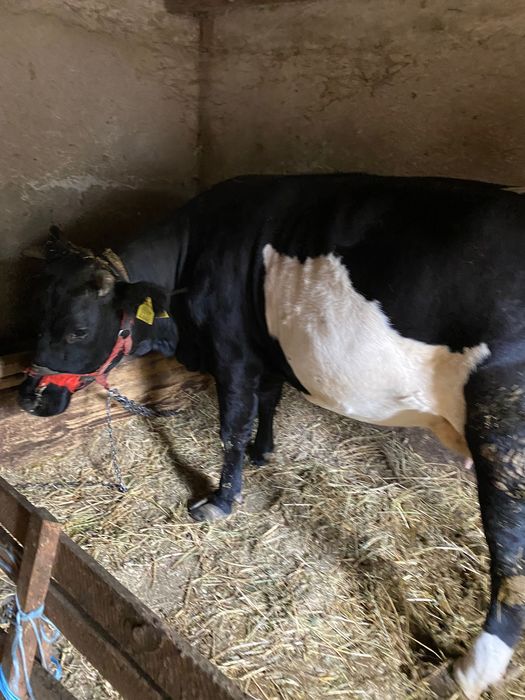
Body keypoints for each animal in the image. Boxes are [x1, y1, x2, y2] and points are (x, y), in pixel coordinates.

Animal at [18, 173, 525, 698]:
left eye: (78, 330)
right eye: (34, 313)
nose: (30, 397)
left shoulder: (233, 351)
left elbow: (232, 426)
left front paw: (221, 500)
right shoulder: (266, 351)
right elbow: (269, 400)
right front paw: (264, 453)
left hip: (501, 427)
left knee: (508, 548)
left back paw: (470, 670)